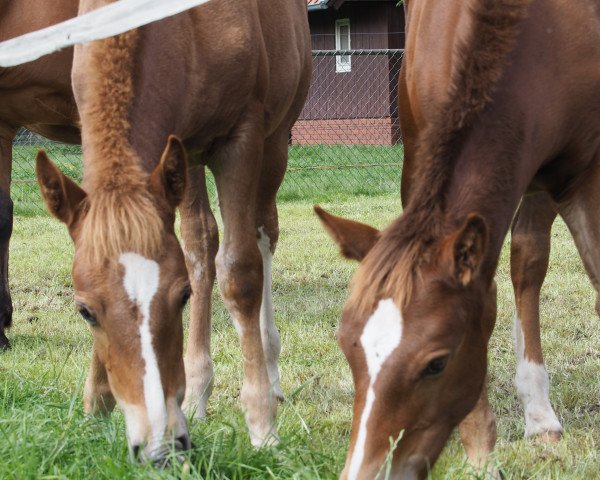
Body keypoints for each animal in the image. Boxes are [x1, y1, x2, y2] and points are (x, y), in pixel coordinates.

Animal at [36, 0, 310, 464]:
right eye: (84, 311)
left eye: (182, 297)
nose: (159, 448)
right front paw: (95, 407)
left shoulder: (241, 138)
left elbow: (240, 273)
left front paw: (262, 426)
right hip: (186, 160)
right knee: (201, 241)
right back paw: (198, 392)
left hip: (273, 144)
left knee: (263, 234)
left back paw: (270, 376)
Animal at [318, 0, 600, 476]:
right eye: (346, 346)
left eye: (436, 364)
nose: (369, 471)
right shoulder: (421, 154)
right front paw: (482, 456)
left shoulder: (581, 175)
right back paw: (538, 413)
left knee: (529, 261)